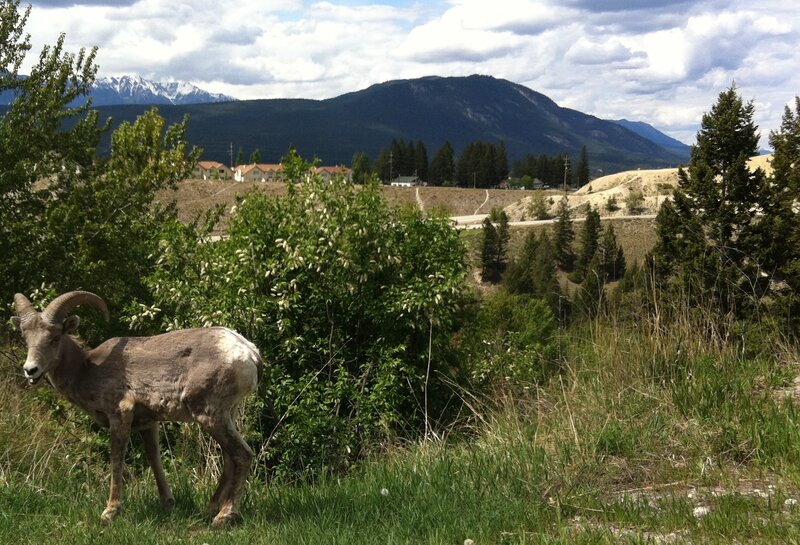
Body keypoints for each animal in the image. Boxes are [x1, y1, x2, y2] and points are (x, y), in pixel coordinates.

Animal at [11, 290, 262, 528]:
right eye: (25, 337)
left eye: (54, 337)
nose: (30, 370)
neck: (86, 369)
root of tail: (248, 352)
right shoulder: (147, 423)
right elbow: (154, 457)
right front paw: (167, 504)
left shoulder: (120, 416)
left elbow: (117, 458)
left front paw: (110, 513)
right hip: (226, 415)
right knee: (230, 459)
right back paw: (209, 510)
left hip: (210, 415)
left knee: (242, 455)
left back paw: (224, 517)